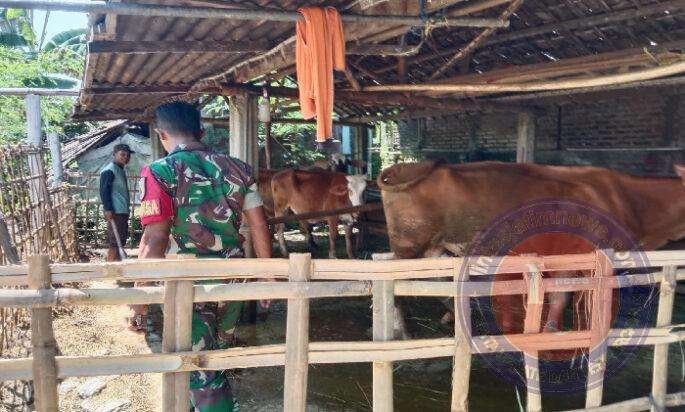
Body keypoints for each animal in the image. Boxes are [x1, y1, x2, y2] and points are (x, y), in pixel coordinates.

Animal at [378, 161, 685, 335]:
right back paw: (402, 330)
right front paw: (550, 331)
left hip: (432, 247)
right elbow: (562, 297)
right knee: (395, 284)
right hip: (409, 245)